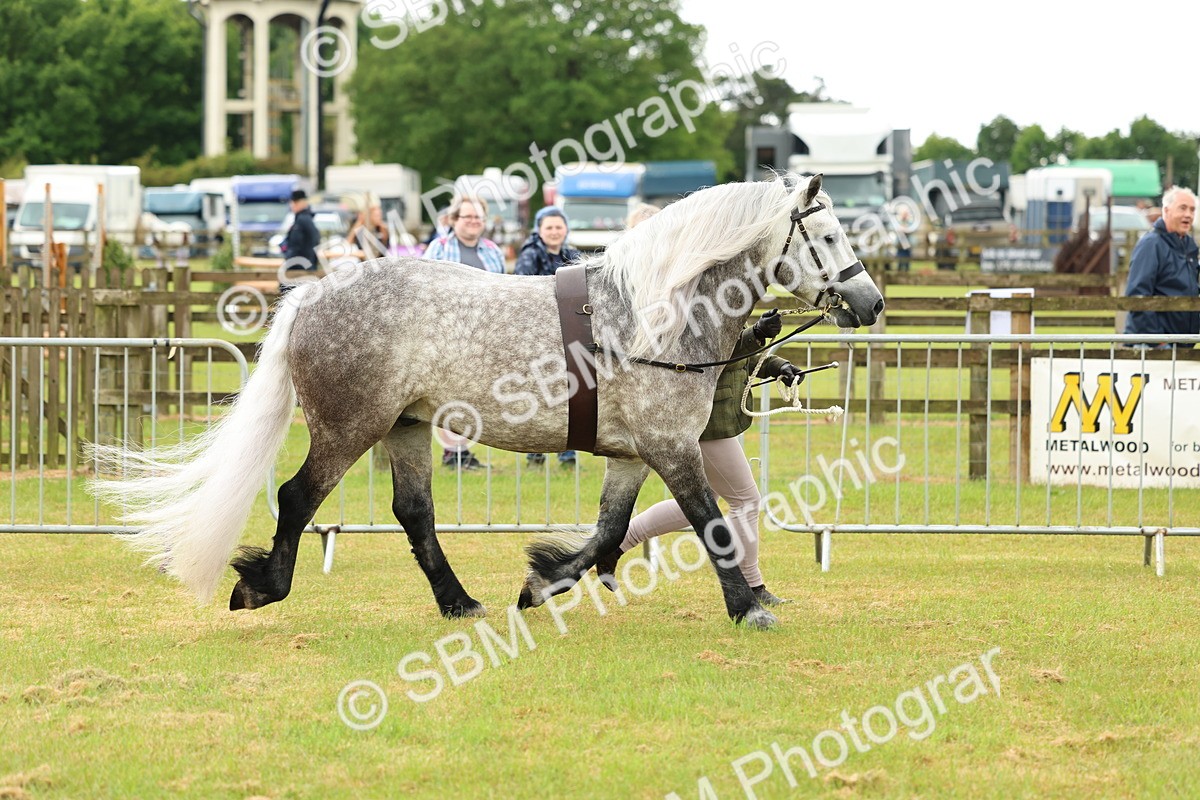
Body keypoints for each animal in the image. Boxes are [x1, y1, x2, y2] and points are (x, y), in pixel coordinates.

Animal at [90, 173, 883, 630]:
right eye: (829, 233)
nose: (871, 303)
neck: (651, 315)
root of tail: (313, 295)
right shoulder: (672, 449)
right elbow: (709, 523)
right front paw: (747, 607)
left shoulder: (633, 455)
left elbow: (609, 530)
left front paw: (543, 582)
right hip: (350, 427)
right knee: (296, 497)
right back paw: (263, 587)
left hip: (406, 429)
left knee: (413, 512)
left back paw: (458, 602)